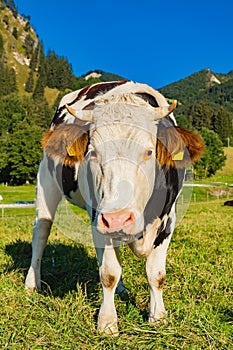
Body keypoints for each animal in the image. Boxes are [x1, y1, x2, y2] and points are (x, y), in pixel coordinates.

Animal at [25, 80, 204, 334]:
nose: (118, 218)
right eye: (92, 152)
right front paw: (107, 322)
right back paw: (32, 283)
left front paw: (158, 316)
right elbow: (109, 272)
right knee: (41, 231)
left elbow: (156, 273)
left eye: (149, 151)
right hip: (45, 179)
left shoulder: (169, 218)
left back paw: (122, 289)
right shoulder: (98, 217)